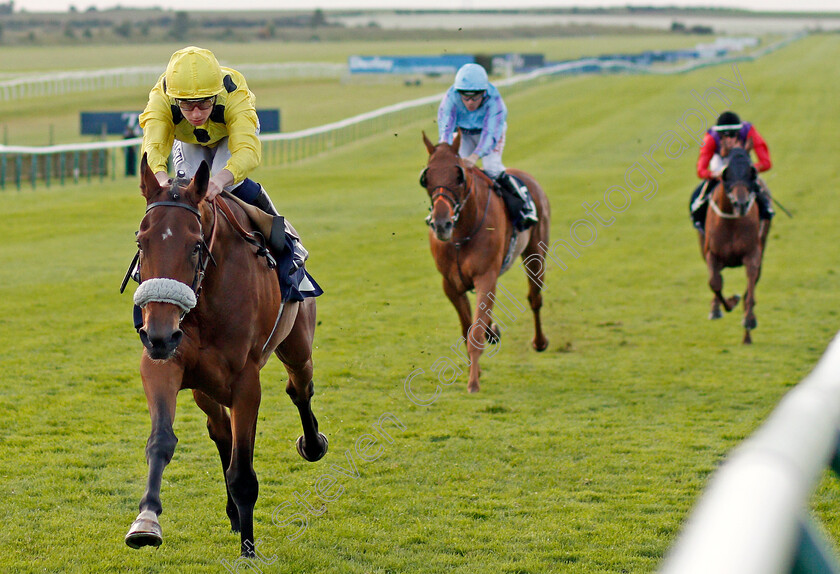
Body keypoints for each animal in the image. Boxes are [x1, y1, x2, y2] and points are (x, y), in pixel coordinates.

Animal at [124, 155, 328, 560]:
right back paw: (233, 513)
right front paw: (146, 521)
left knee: (300, 387)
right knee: (220, 431)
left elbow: (243, 473)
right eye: (142, 241)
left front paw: (249, 551)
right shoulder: (162, 362)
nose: (159, 334)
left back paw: (312, 445)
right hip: (204, 385)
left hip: (297, 343)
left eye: (196, 245)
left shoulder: (245, 381)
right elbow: (161, 441)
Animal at [420, 131, 552, 394]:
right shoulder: (450, 284)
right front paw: (477, 367)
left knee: (535, 298)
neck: (461, 233)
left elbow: (475, 333)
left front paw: (473, 383)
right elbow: (468, 328)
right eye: (427, 178)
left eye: (459, 176)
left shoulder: (486, 277)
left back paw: (539, 341)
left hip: (536, 253)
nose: (441, 224)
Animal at [700, 148, 764, 346]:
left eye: (751, 172)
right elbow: (714, 282)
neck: (732, 222)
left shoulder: (752, 253)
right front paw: (726, 304)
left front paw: (749, 322)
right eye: (726, 173)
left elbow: (750, 287)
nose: (741, 204)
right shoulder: (711, 253)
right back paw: (716, 309)